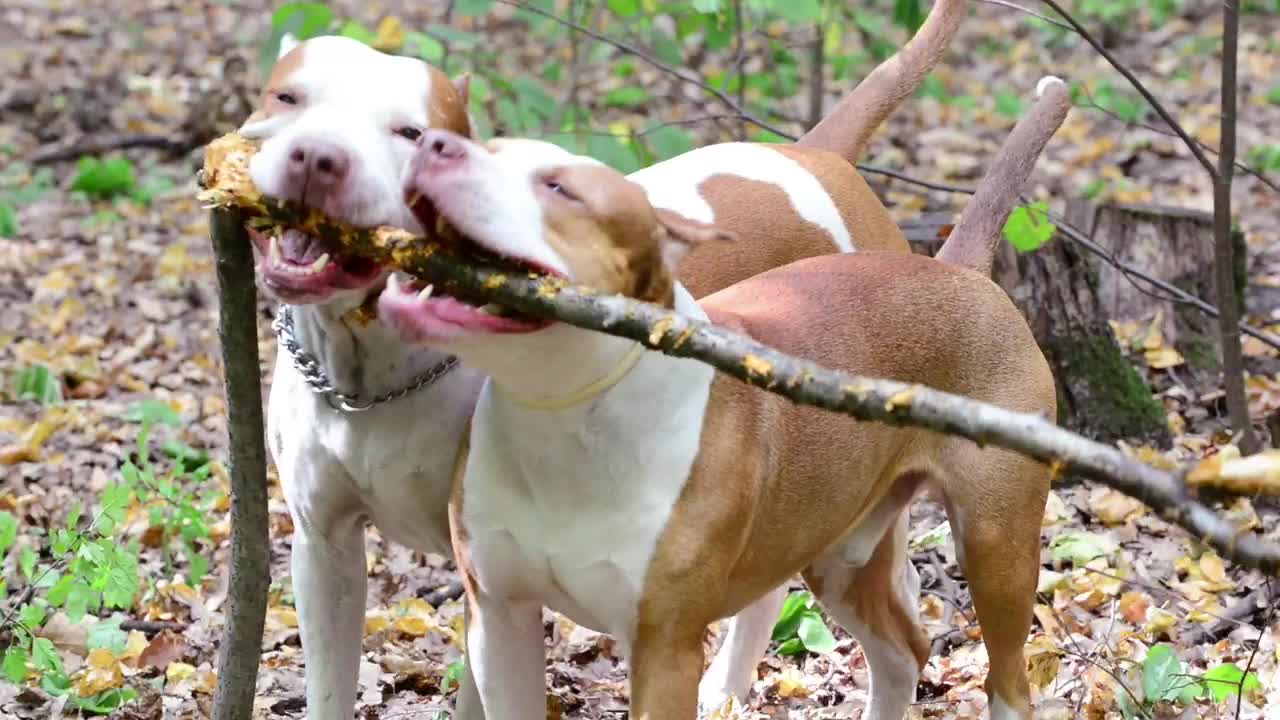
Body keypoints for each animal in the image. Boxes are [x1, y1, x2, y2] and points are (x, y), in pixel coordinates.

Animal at [238, 1, 962, 712]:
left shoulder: (485, 587)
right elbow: (329, 684)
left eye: (408, 131)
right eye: (287, 97)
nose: (317, 157)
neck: (375, 367)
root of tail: (814, 157)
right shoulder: (324, 548)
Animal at [376, 77, 1059, 712]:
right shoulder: (500, 618)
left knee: (1007, 679)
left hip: (995, 544)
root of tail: (958, 270)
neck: (563, 411)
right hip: (840, 552)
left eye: (559, 188)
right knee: (900, 652)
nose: (435, 146)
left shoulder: (666, 647)